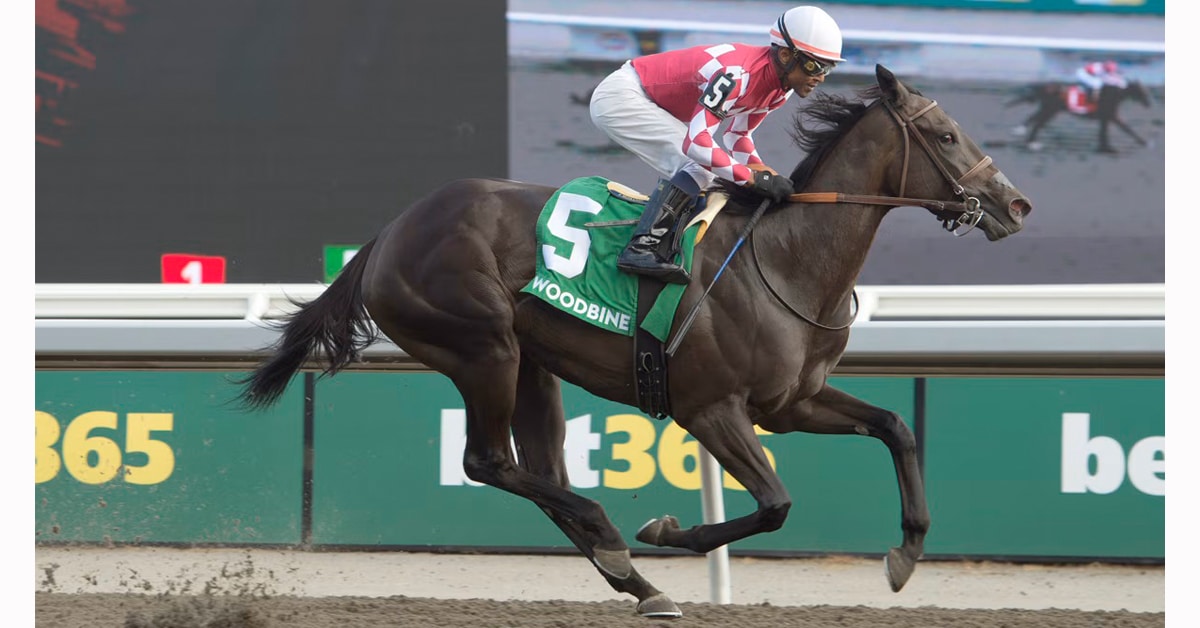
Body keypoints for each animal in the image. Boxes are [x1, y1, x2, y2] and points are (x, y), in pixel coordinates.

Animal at [237, 64, 1032, 619]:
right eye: (946, 135)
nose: (1015, 204)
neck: (785, 259)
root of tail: (390, 233)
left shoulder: (790, 403)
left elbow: (896, 427)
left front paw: (907, 551)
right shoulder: (709, 408)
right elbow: (775, 503)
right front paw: (666, 527)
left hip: (533, 366)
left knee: (540, 473)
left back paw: (637, 581)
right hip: (482, 346)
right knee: (489, 462)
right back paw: (617, 538)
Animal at [1006, 79, 1151, 153]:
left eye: (1145, 90)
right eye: (1141, 91)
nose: (1148, 103)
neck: (1114, 94)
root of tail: (1045, 87)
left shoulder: (1106, 118)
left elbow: (1103, 132)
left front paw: (1105, 147)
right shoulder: (1112, 117)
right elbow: (1128, 129)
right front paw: (1145, 142)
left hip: (1048, 109)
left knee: (1034, 118)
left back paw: (1025, 136)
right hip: (1051, 110)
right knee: (1038, 123)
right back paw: (1032, 143)